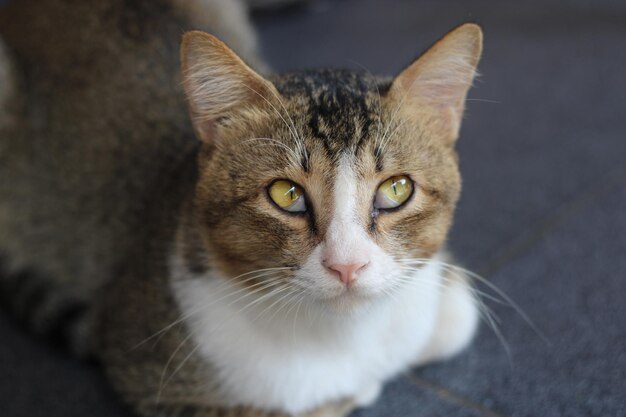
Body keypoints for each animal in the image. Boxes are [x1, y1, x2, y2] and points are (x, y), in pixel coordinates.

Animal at [0, 0, 482, 416]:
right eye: (286, 194)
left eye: (397, 189)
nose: (347, 265)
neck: (341, 337)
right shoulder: (144, 364)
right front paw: (354, 391)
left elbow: (459, 319)